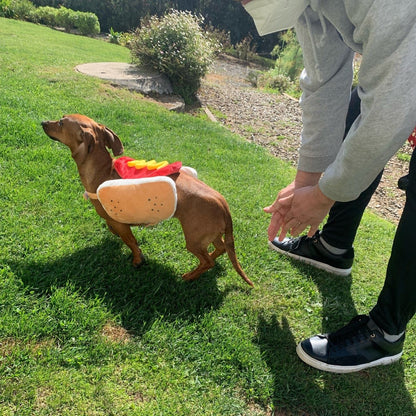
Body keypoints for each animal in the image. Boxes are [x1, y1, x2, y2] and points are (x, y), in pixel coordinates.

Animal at [43, 115, 254, 288]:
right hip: (208, 234)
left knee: (208, 262)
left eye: (61, 123)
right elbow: (117, 232)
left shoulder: (120, 224)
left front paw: (137, 260)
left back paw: (189, 276)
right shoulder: (114, 221)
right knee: (220, 249)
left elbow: (131, 242)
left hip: (193, 240)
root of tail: (223, 204)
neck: (103, 170)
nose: (43, 122)